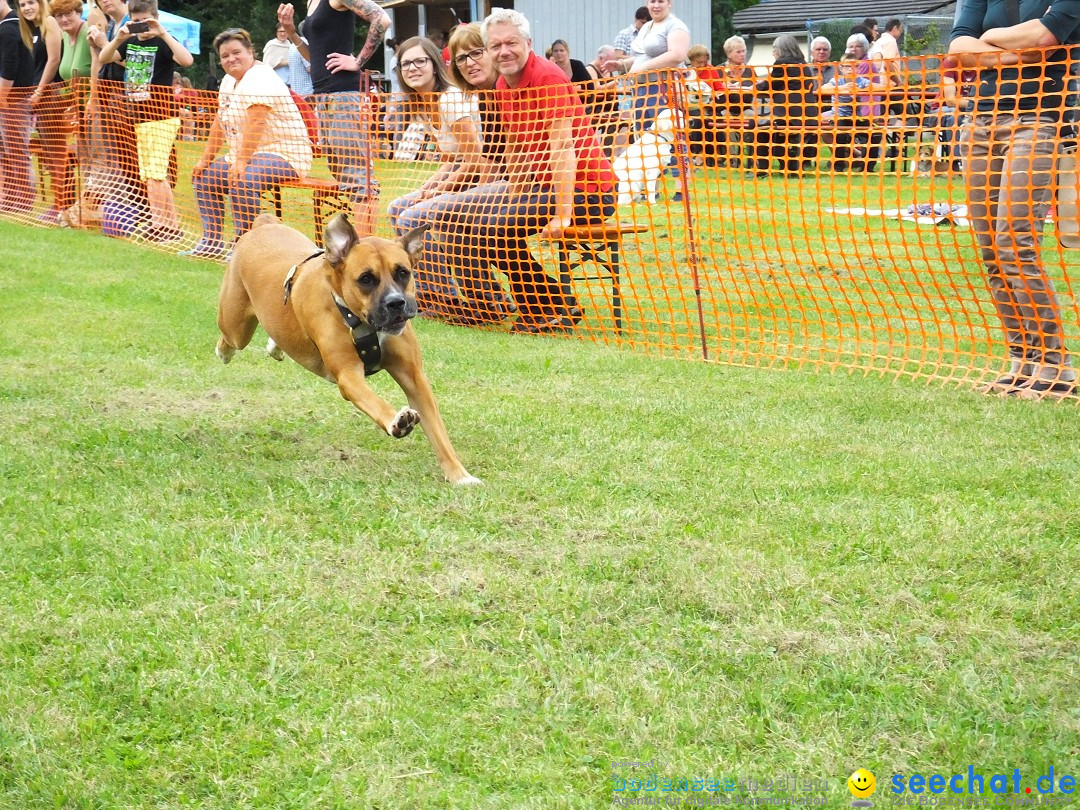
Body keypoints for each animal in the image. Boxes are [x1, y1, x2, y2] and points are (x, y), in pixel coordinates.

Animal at [217, 212, 479, 486]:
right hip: (236, 326)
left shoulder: (415, 379)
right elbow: (375, 402)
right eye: (366, 279)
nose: (396, 303)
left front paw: (460, 475)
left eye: (403, 273)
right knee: (229, 339)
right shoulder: (349, 376)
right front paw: (397, 421)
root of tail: (264, 224)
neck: (362, 322)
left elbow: (439, 433)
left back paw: (275, 346)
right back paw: (224, 352)